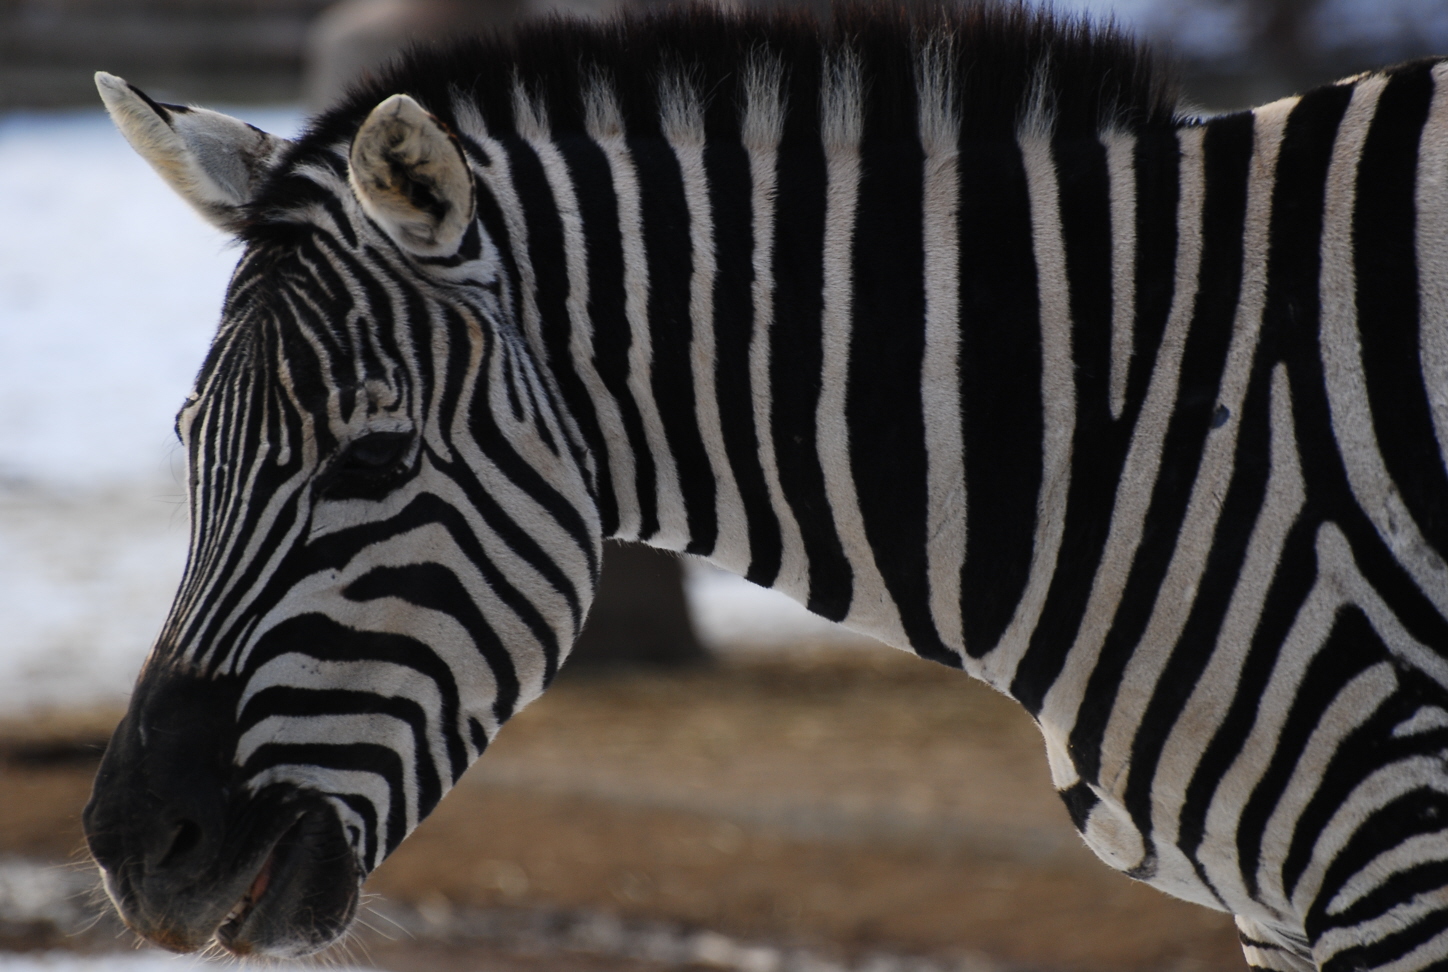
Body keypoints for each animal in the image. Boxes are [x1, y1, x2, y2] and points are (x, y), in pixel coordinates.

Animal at [79, 7, 1448, 972]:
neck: (1131, 412)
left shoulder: (1400, 862)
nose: (134, 851)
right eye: (190, 443)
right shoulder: (1271, 911)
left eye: (371, 457)